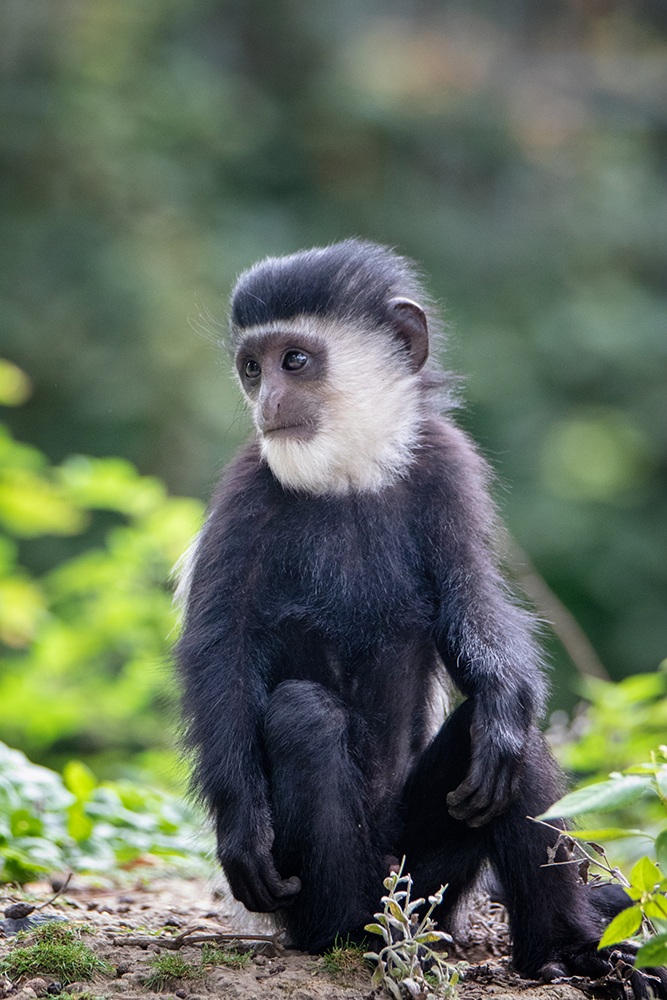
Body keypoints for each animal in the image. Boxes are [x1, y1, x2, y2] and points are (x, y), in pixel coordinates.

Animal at [177, 240, 667, 992]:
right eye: (252, 367)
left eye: (295, 360)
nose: (268, 401)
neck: (349, 477)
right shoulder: (244, 494)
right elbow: (220, 653)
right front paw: (242, 836)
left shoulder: (446, 468)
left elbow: (471, 606)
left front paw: (502, 708)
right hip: (338, 882)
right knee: (301, 715)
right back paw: (349, 928)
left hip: (433, 875)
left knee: (496, 743)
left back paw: (566, 949)